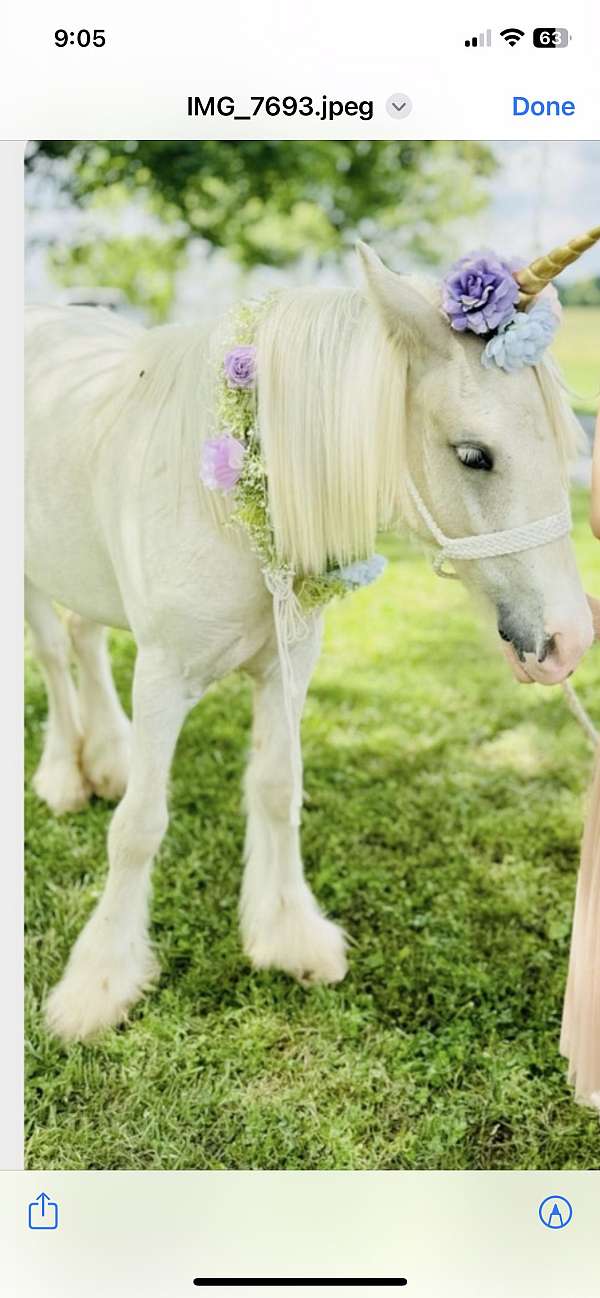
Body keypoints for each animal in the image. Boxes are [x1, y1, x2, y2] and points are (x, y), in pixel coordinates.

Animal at [24, 238, 594, 1038]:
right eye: (474, 455)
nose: (572, 638)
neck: (225, 502)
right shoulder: (164, 676)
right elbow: (139, 826)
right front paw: (99, 983)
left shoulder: (288, 660)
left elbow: (275, 788)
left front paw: (288, 935)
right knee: (51, 653)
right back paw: (64, 777)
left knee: (82, 639)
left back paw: (105, 757)